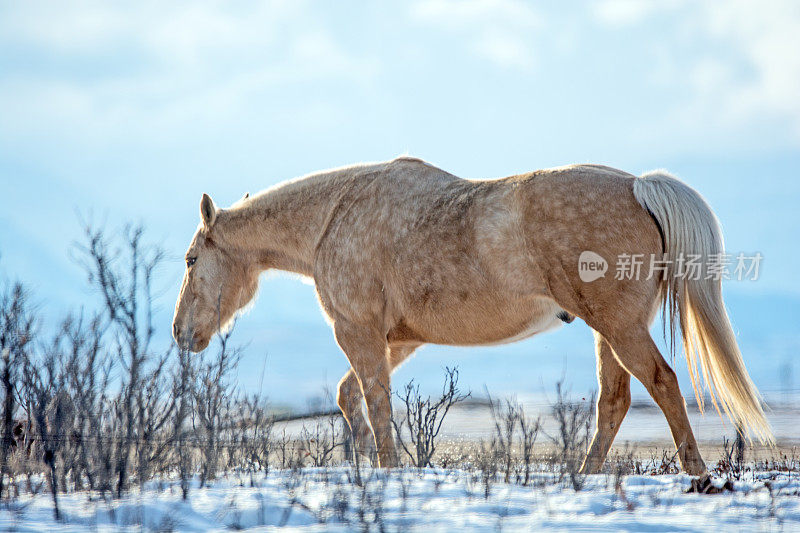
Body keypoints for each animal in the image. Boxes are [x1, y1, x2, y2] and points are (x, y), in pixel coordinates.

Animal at [172, 156, 772, 472]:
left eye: (191, 259)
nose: (182, 333)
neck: (335, 216)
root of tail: (637, 186)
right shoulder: (398, 339)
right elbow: (351, 398)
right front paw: (367, 465)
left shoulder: (358, 332)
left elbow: (376, 404)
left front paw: (385, 471)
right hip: (612, 332)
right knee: (615, 402)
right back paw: (581, 479)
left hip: (621, 329)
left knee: (663, 384)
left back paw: (696, 475)